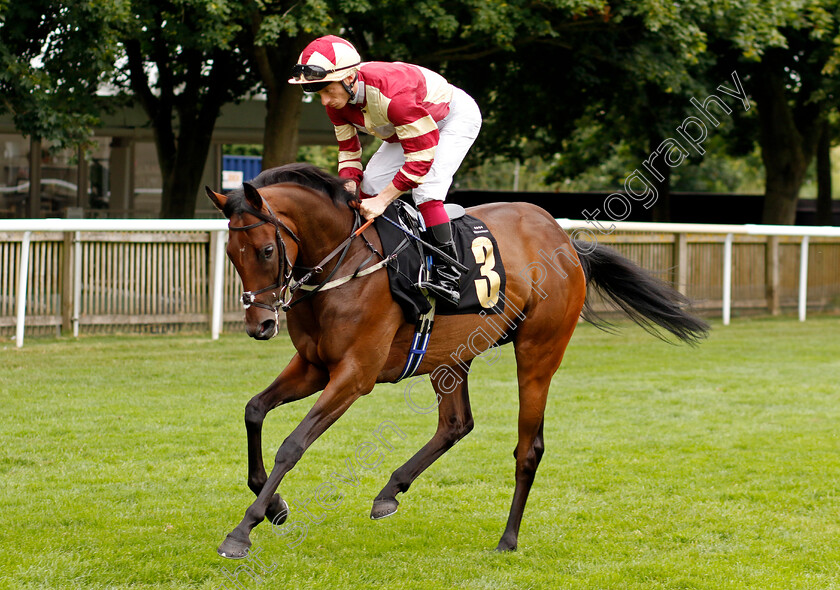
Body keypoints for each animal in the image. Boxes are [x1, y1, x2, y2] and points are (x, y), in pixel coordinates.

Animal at [205, 164, 708, 560]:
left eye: (267, 250)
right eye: (231, 254)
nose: (259, 323)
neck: (345, 265)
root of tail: (562, 238)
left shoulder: (354, 375)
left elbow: (293, 444)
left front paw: (243, 530)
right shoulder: (314, 365)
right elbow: (254, 409)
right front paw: (274, 506)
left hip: (538, 352)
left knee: (529, 448)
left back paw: (507, 539)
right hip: (450, 356)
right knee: (456, 424)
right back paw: (390, 491)